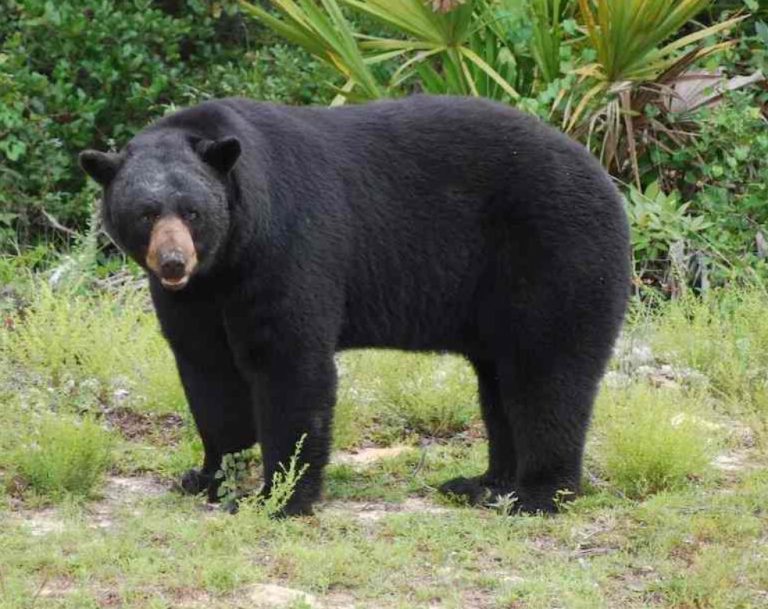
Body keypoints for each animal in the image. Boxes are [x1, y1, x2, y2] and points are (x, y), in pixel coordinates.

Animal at [79, 95, 630, 516]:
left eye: (192, 211)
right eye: (146, 213)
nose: (174, 262)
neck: (227, 258)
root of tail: (605, 179)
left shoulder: (285, 246)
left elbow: (289, 364)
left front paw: (280, 496)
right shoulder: (199, 297)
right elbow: (208, 372)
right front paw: (208, 476)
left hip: (554, 255)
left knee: (546, 375)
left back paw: (537, 495)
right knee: (500, 381)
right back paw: (484, 484)